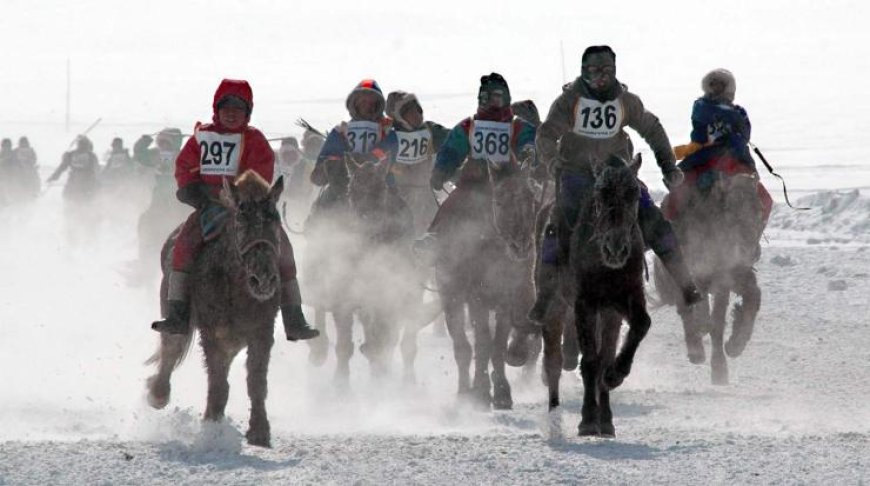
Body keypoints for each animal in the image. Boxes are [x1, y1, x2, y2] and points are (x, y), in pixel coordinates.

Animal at [147, 171, 286, 448]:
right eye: (240, 222)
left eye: (275, 222)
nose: (264, 279)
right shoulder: (212, 333)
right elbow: (218, 382)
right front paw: (212, 426)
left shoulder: (262, 332)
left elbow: (256, 381)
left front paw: (259, 431)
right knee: (170, 348)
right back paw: (157, 393)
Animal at [656, 171, 768, 384]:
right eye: (729, 209)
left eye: (759, 211)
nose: (748, 249)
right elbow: (712, 320)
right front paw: (719, 367)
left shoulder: (730, 275)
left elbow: (751, 298)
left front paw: (735, 344)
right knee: (686, 311)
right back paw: (696, 349)